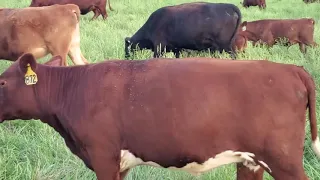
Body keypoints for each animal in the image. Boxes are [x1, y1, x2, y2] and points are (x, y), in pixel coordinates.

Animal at [0, 53, 320, 180]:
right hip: (251, 160)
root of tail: (291, 69)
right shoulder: (119, 163)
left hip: (283, 158)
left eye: (2, 82)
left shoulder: (103, 156)